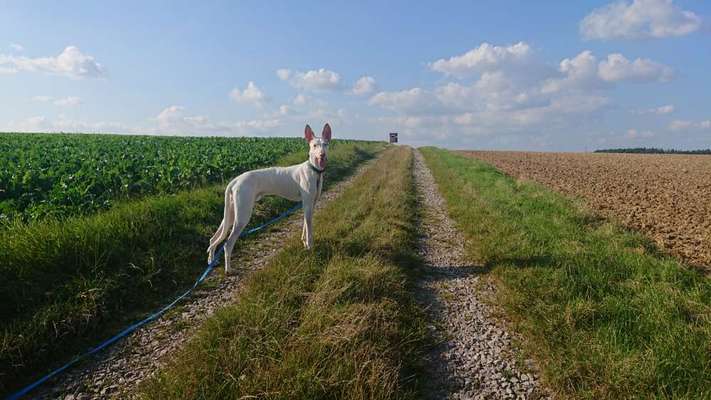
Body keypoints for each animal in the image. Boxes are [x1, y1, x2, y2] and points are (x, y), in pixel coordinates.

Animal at [204, 122, 330, 272]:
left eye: (326, 144)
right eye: (314, 145)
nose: (322, 155)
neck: (314, 171)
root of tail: (235, 180)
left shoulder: (309, 204)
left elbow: (305, 226)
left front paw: (304, 244)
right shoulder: (308, 204)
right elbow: (309, 230)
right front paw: (310, 248)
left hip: (231, 214)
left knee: (213, 239)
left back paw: (212, 261)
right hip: (242, 216)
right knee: (227, 244)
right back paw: (229, 269)